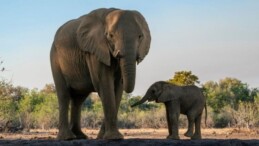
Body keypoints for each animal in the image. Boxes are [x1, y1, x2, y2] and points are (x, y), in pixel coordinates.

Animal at [49, 8, 151, 140]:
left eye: (140, 36)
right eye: (111, 36)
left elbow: (117, 89)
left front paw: (103, 137)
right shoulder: (95, 51)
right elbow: (104, 84)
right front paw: (114, 138)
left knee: (78, 99)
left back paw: (80, 136)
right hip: (55, 59)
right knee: (64, 95)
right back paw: (67, 138)